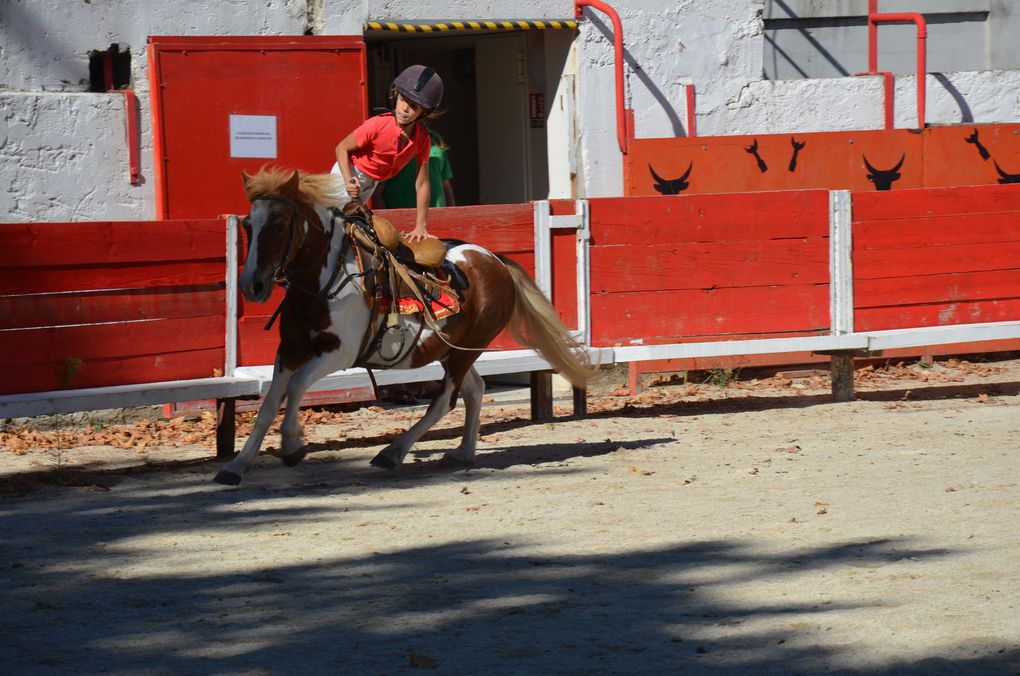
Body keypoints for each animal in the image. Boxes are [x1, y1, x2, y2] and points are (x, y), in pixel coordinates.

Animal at [215, 169, 595, 487]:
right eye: (248, 225)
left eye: (279, 225)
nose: (252, 286)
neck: (326, 279)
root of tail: (496, 261)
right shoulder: (291, 350)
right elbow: (268, 406)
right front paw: (236, 466)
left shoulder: (337, 353)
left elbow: (294, 388)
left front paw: (293, 446)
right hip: (452, 351)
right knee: (475, 389)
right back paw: (462, 452)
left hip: (465, 351)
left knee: (445, 400)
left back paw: (393, 452)